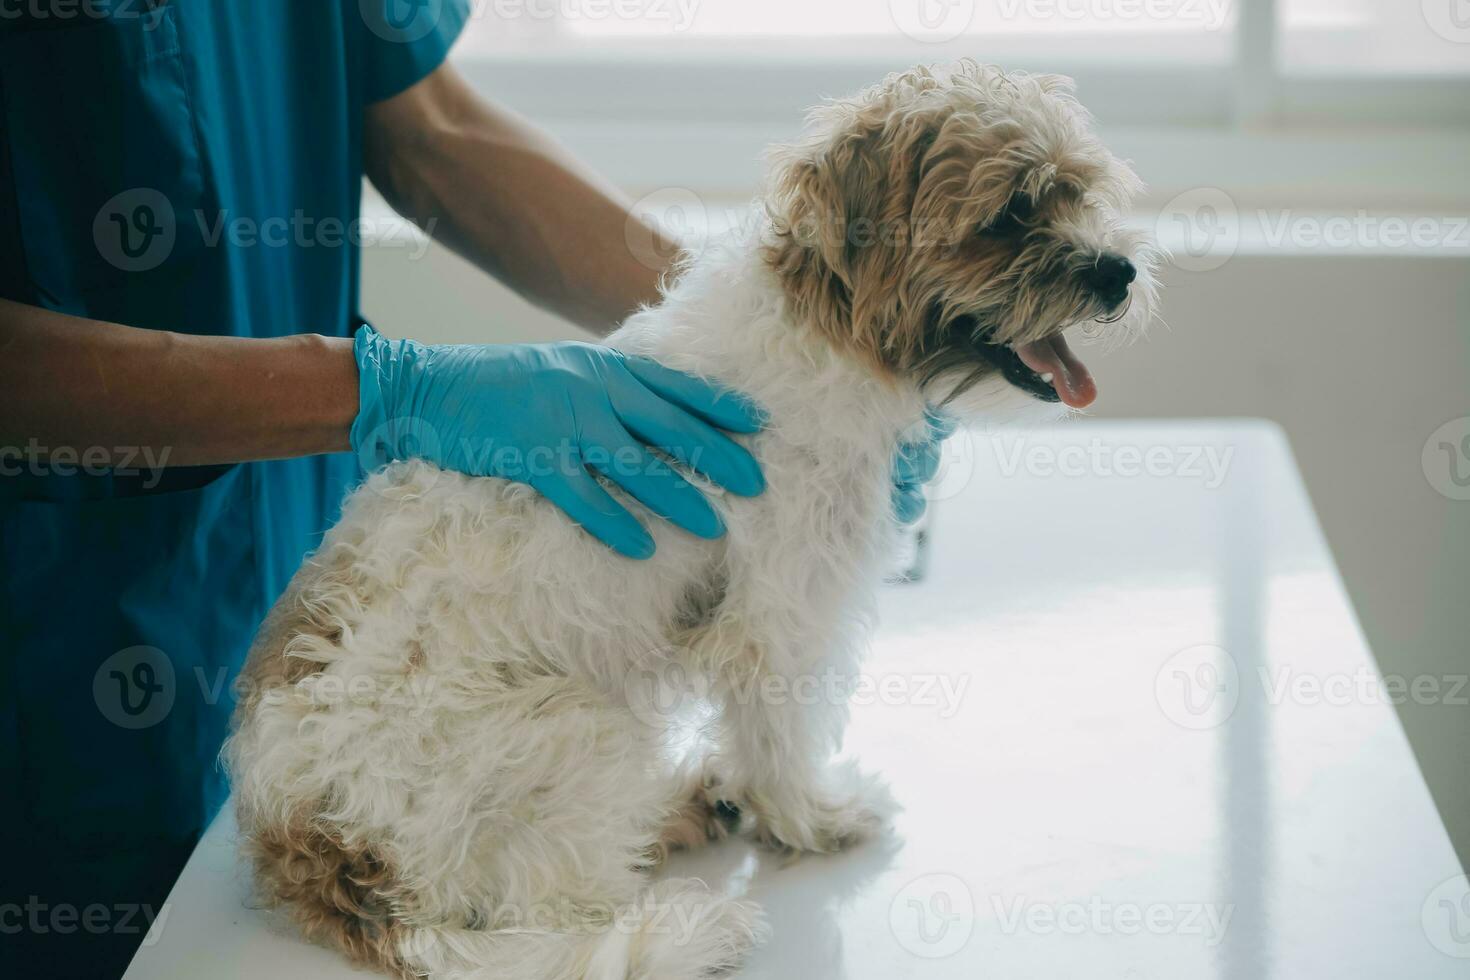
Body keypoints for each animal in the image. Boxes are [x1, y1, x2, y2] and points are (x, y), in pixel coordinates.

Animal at [223, 63, 1152, 980]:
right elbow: (783, 737)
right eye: (1008, 216)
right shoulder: (782, 619)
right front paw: (814, 819)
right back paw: (682, 918)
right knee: (559, 922)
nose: (1119, 272)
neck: (829, 333)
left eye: (1076, 190)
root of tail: (320, 852)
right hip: (581, 728)